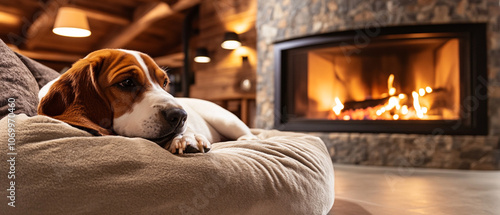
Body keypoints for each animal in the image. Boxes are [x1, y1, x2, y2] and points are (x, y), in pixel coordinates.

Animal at [38, 49, 254, 153]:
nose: (180, 115)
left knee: (249, 135)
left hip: (225, 119)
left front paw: (186, 137)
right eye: (127, 82)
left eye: (165, 82)